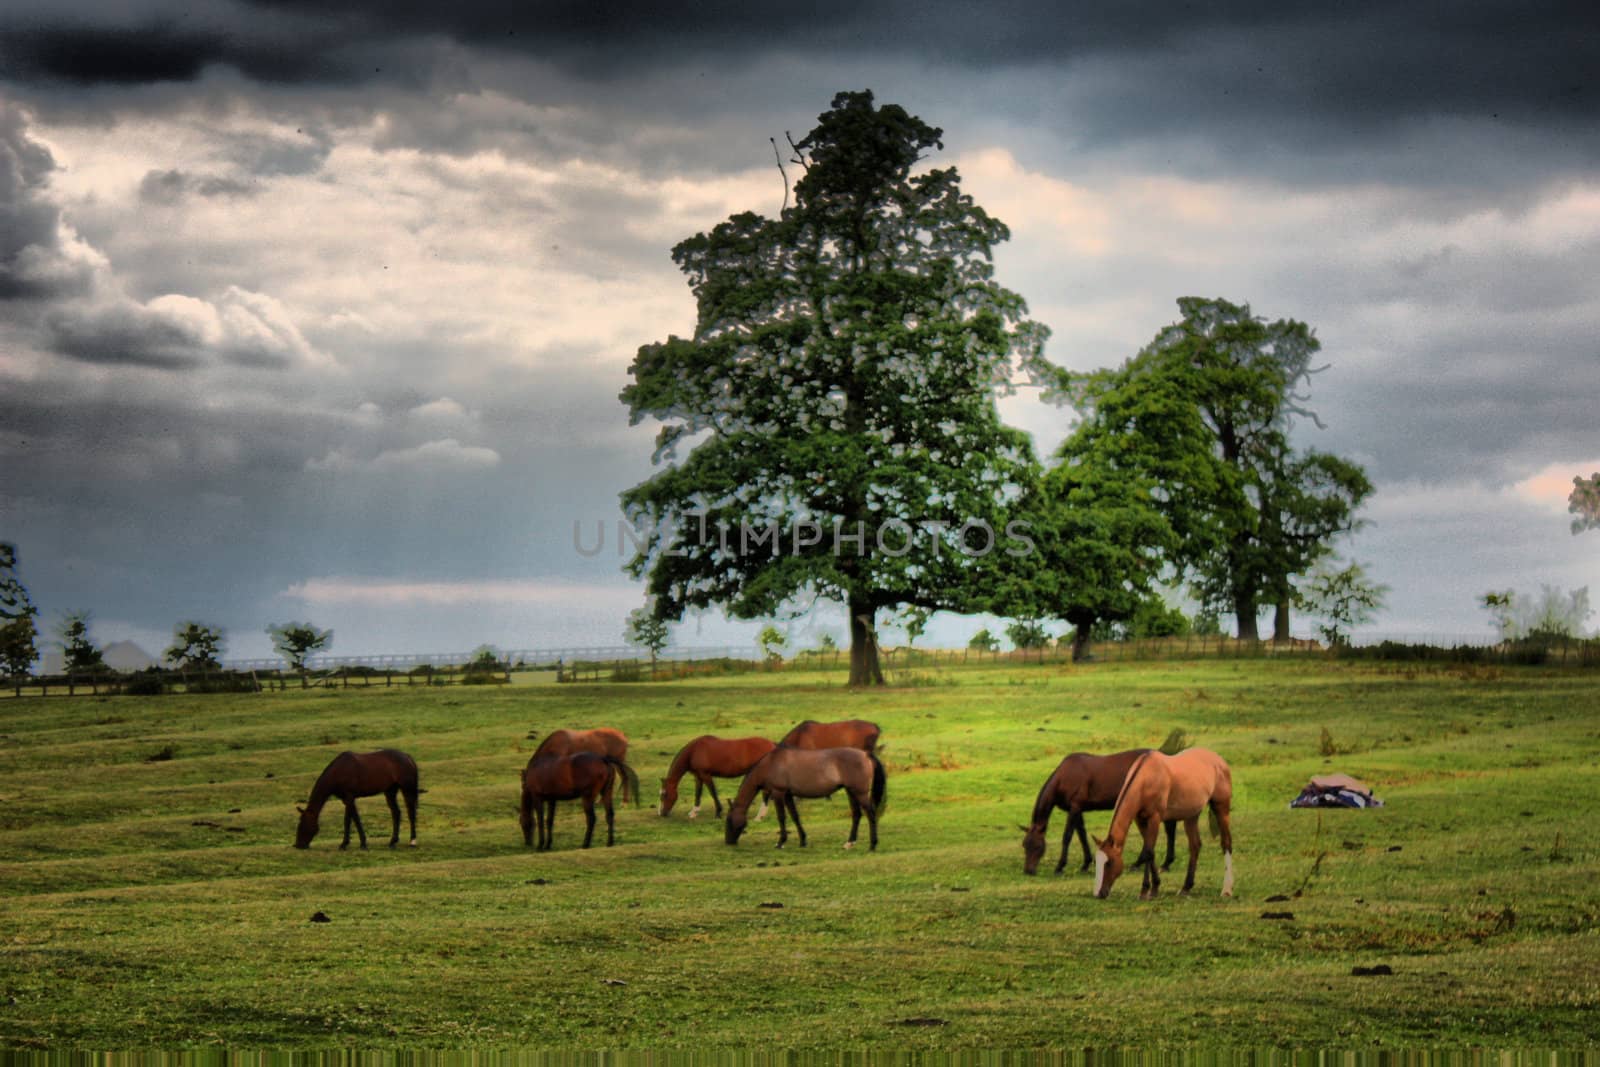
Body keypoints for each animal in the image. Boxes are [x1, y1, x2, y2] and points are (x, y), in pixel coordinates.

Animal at [726, 748, 889, 857]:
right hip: (851, 792)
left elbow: (781, 817)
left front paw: (780, 842)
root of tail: (865, 754)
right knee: (856, 815)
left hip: (859, 793)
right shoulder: (788, 795)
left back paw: (872, 845)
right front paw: (802, 840)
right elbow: (795, 816)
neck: (771, 763)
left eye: (728, 821)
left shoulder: (778, 793)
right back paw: (849, 843)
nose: (728, 842)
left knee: (870, 814)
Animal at [1024, 751, 1177, 876]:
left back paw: (1154, 863)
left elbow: (1067, 836)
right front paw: (1085, 864)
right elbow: (1082, 835)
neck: (1065, 776)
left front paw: (1060, 867)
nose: (1028, 871)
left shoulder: (1074, 807)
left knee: (1168, 829)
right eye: (1024, 845)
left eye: (1037, 846)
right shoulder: (1078, 809)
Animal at [1088, 751, 1235, 902]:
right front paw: (1155, 887)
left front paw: (1146, 890)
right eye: (1096, 862)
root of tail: (1218, 760)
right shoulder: (1140, 820)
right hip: (1191, 816)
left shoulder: (1155, 818)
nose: (1098, 893)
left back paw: (1226, 889)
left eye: (1109, 862)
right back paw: (1186, 888)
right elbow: (1150, 851)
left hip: (1221, 807)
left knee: (1226, 843)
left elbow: (1148, 852)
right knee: (1195, 846)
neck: (1146, 778)